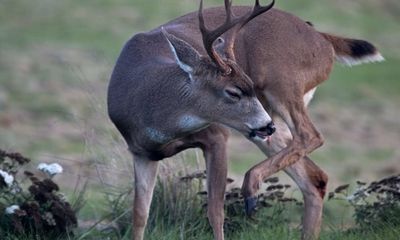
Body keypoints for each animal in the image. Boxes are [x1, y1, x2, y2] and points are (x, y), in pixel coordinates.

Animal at [107, 0, 384, 240]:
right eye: (233, 92)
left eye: (247, 85)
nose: (267, 125)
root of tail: (324, 41)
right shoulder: (141, 153)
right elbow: (140, 215)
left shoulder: (217, 135)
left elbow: (215, 211)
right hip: (265, 120)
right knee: (315, 178)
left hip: (282, 84)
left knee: (310, 135)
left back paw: (251, 190)